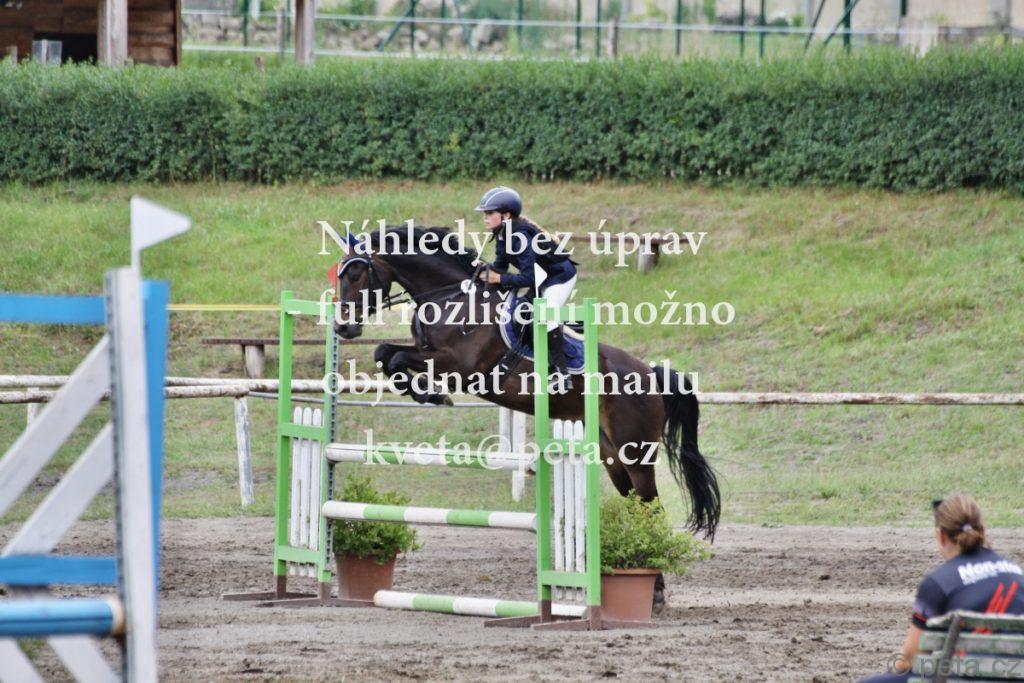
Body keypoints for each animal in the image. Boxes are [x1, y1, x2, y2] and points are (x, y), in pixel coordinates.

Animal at [331, 226, 721, 541]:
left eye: (356, 274)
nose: (342, 327)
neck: (450, 297)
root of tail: (651, 374)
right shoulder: (427, 352)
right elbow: (385, 352)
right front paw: (426, 394)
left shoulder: (460, 366)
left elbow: (397, 358)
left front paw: (432, 395)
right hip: (611, 454)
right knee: (637, 505)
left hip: (636, 452)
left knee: (651, 508)